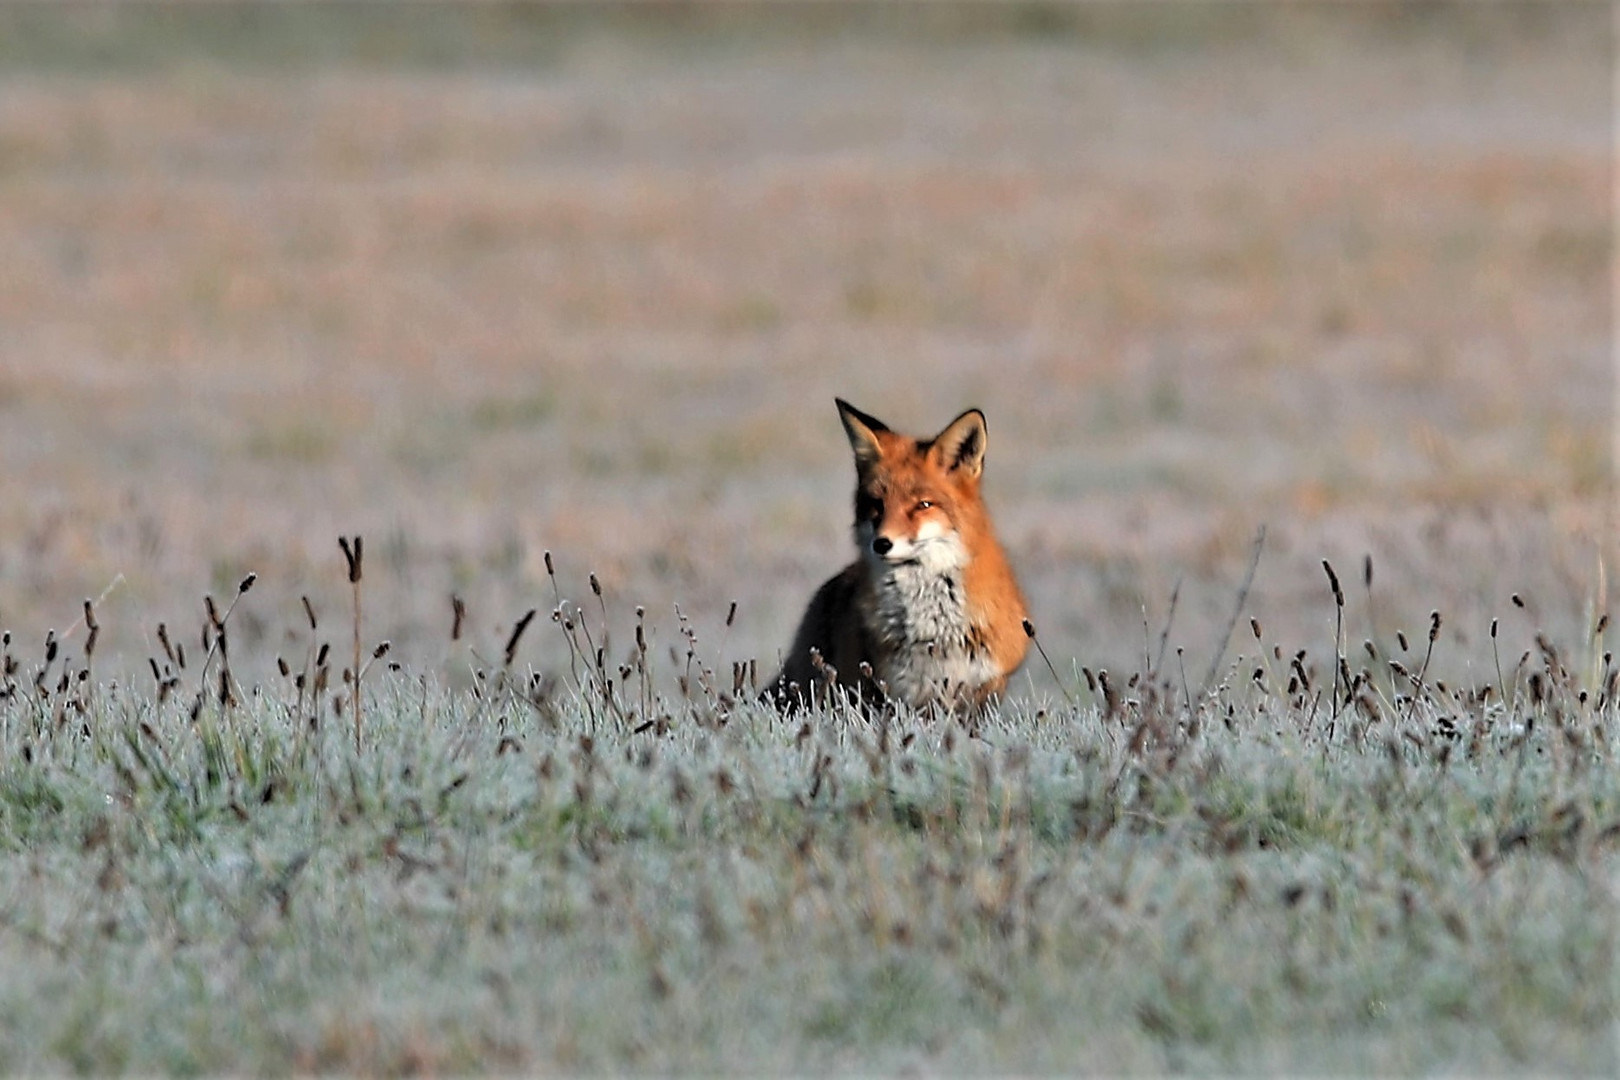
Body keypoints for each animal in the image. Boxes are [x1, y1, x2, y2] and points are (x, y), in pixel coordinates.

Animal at [767, 401, 1023, 712]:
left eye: (923, 505)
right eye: (876, 504)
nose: (882, 544)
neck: (934, 630)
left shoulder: (982, 688)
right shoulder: (898, 692)